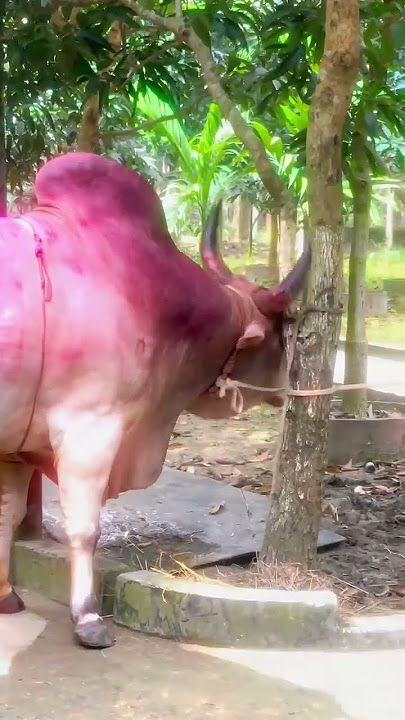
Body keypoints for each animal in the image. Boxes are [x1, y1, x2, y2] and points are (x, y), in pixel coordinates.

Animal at [0, 153, 311, 649]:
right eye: (279, 338)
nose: (286, 387)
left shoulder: (15, 446)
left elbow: (7, 516)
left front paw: (7, 596)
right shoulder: (89, 429)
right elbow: (84, 529)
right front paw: (88, 619)